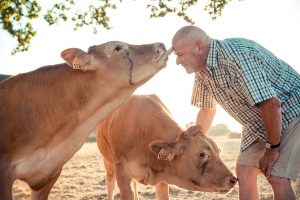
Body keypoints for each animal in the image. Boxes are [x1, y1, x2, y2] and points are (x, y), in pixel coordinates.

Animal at [97, 94, 238, 199]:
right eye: (202, 154)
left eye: (219, 151)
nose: (233, 179)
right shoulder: (122, 172)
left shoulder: (162, 180)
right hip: (108, 163)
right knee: (110, 184)